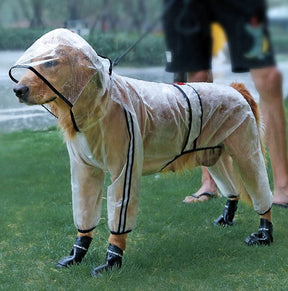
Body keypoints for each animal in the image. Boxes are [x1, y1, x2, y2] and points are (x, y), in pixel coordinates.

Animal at [9, 29, 274, 278]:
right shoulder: (84, 171)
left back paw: (264, 234)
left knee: (261, 192)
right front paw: (77, 254)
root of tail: (235, 89)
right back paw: (227, 218)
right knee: (232, 190)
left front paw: (111, 261)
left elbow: (119, 219)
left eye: (51, 63)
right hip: (212, 155)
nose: (18, 89)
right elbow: (84, 217)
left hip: (246, 153)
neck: (98, 101)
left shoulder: (124, 170)